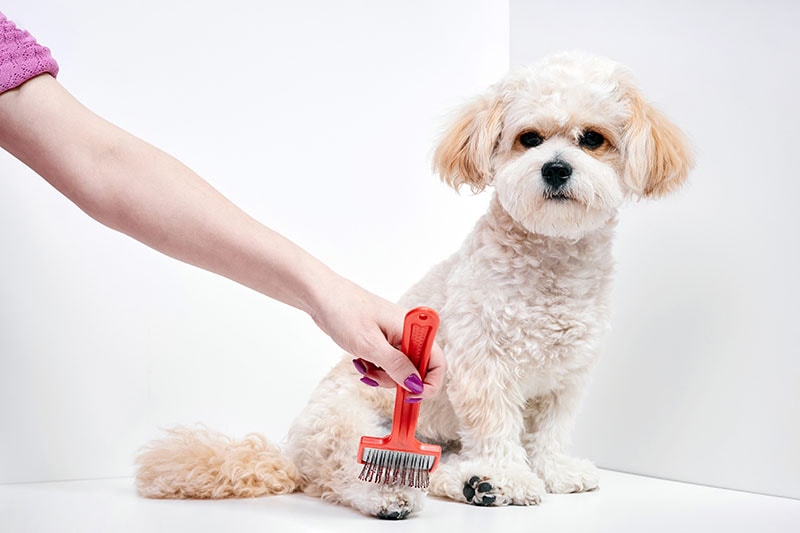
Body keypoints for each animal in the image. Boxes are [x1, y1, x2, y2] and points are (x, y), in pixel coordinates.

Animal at [136, 53, 692, 520]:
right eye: (529, 138)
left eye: (592, 138)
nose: (555, 169)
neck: (550, 264)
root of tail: (290, 453)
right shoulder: (483, 367)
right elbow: (496, 429)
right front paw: (511, 476)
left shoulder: (566, 377)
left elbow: (550, 432)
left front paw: (554, 472)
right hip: (349, 426)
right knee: (343, 476)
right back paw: (399, 494)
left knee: (444, 466)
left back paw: (473, 484)